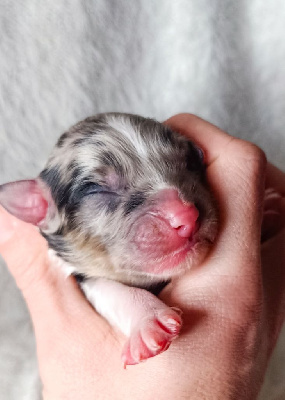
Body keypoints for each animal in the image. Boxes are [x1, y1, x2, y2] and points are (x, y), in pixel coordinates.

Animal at [0, 112, 216, 366]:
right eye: (96, 189)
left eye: (190, 162)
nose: (186, 216)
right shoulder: (83, 278)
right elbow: (107, 288)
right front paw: (148, 321)